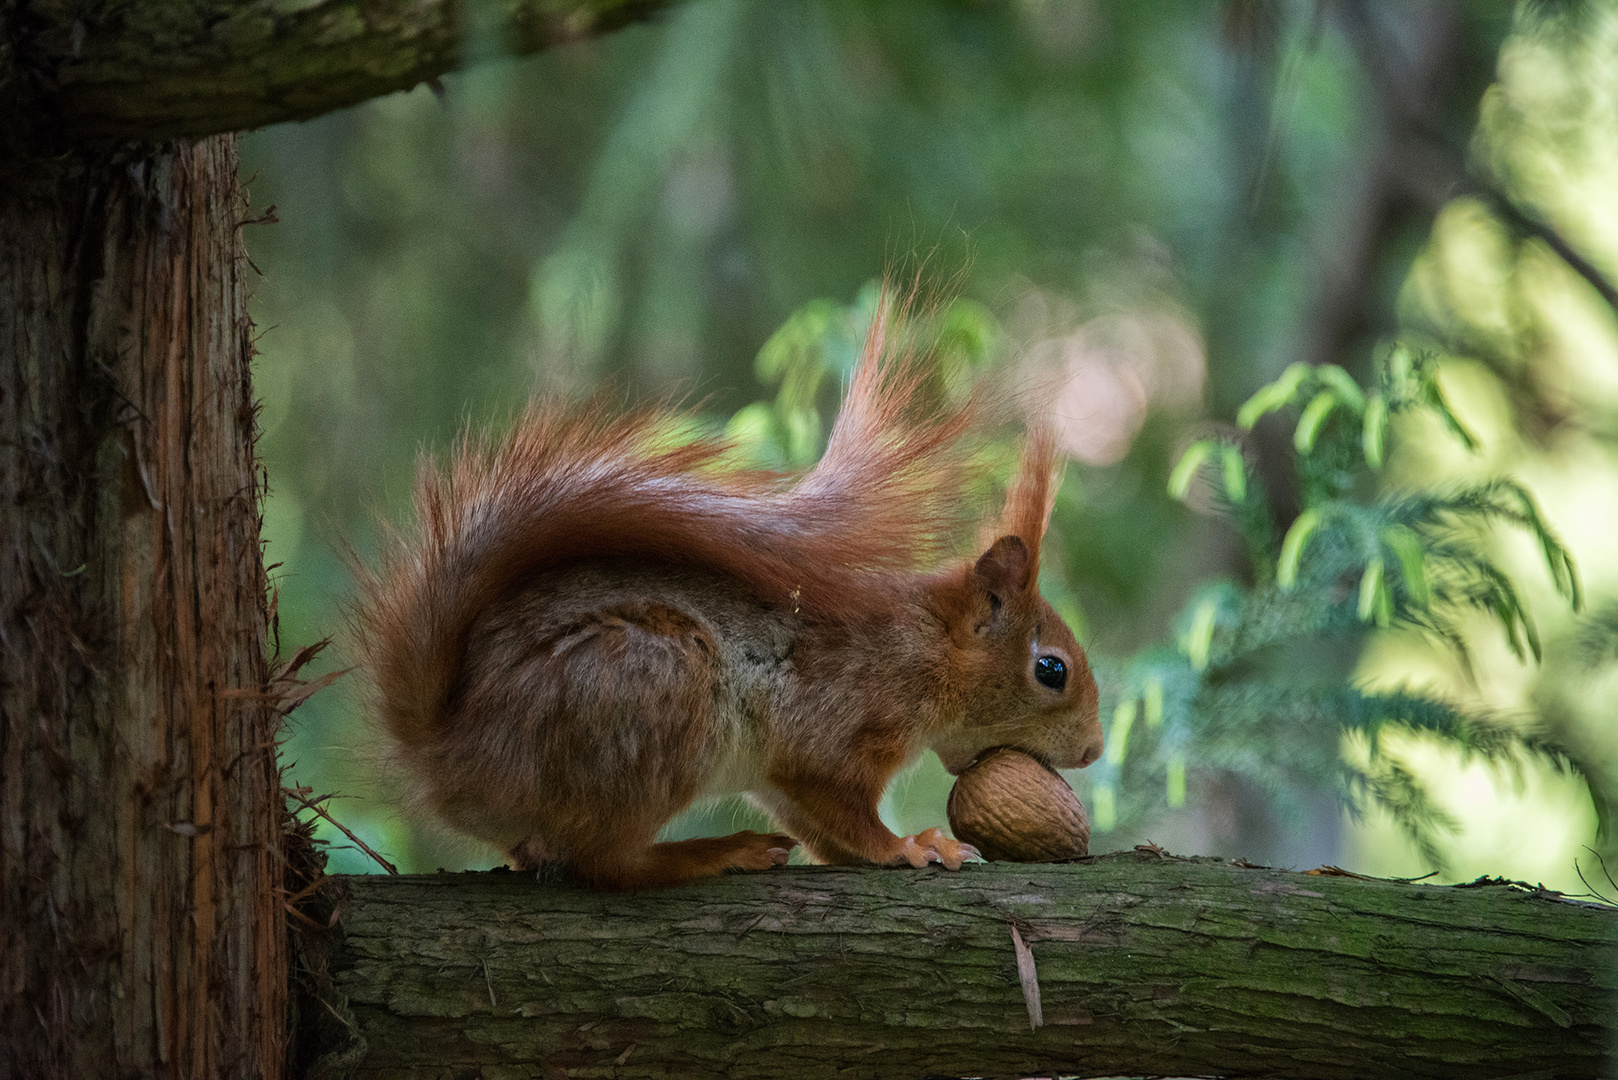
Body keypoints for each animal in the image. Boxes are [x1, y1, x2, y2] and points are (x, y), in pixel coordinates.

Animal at [357, 302, 1100, 887]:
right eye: (1051, 670)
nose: (1093, 751)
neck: (927, 647)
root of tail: (451, 757)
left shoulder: (785, 777)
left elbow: (821, 827)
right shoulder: (833, 726)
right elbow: (847, 811)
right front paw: (910, 848)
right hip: (652, 685)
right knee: (606, 863)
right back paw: (710, 854)